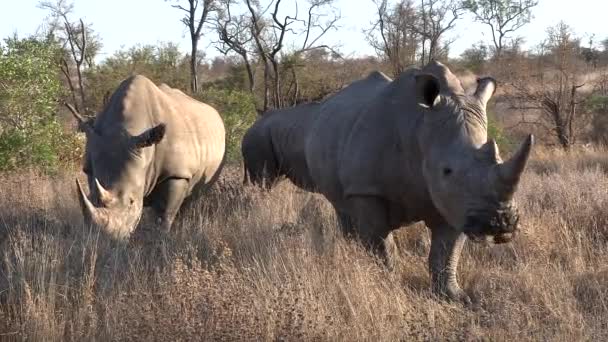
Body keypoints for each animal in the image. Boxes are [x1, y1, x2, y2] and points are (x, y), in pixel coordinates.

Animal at [69, 76, 226, 239]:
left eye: (131, 202)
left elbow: (165, 214)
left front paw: (160, 238)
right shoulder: (91, 166)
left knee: (190, 198)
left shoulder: (177, 173)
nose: (106, 239)